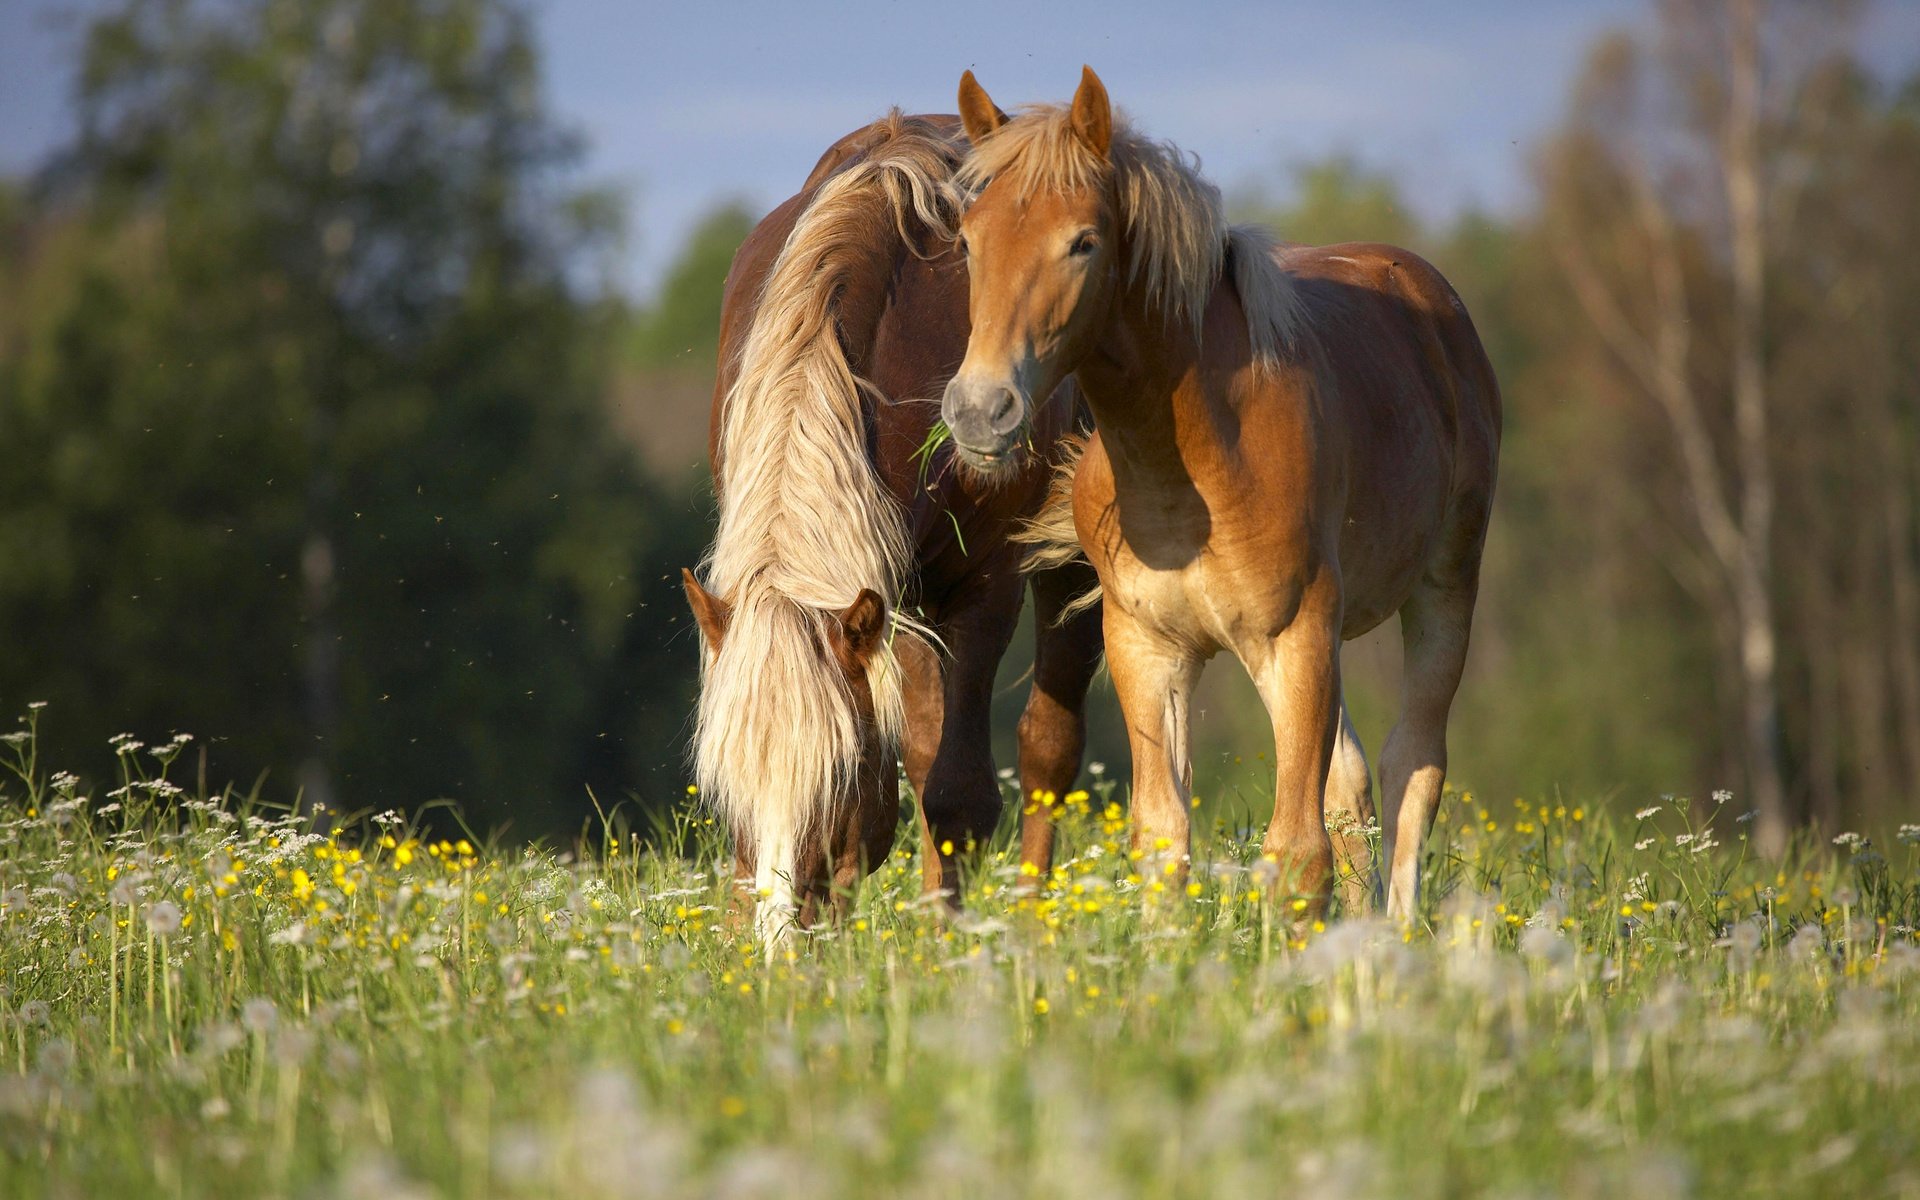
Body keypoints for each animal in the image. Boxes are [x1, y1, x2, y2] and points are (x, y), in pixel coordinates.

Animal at [683, 109, 1105, 936]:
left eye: (838, 773)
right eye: (723, 784)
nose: (778, 944)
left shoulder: (981, 586)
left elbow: (958, 794)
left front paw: (946, 942)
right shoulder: (881, 597)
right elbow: (912, 770)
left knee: (1047, 745)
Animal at [944, 70, 1497, 921]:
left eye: (1083, 242)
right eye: (968, 241)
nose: (980, 410)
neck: (1196, 466)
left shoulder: (1297, 637)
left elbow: (1299, 853)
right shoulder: (1148, 648)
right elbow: (1164, 839)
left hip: (1440, 590)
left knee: (1413, 766)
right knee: (1353, 782)